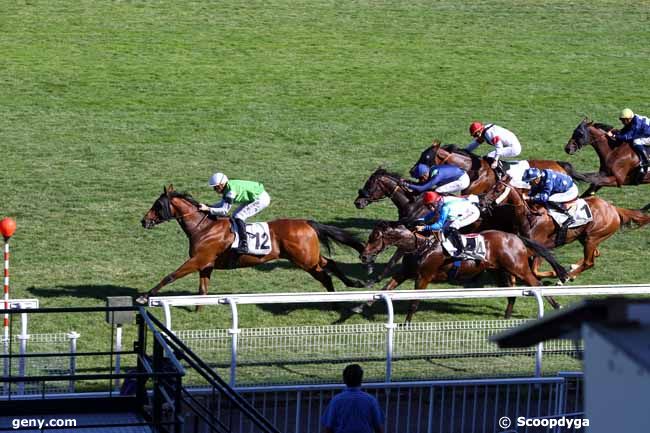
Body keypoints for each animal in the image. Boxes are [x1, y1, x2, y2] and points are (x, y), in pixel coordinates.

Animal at [136, 186, 364, 304]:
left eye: (157, 205)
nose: (144, 221)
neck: (204, 228)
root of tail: (307, 223)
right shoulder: (206, 264)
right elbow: (202, 290)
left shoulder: (198, 260)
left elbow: (170, 276)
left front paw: (144, 296)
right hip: (308, 256)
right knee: (329, 265)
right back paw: (346, 289)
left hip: (304, 259)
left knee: (325, 272)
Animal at [354, 223, 560, 320]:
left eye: (374, 237)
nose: (363, 256)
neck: (420, 246)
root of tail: (515, 237)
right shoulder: (404, 273)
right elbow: (385, 289)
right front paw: (359, 307)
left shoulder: (423, 277)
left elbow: (414, 302)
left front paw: (406, 323)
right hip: (498, 271)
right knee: (511, 293)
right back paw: (506, 316)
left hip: (519, 268)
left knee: (536, 284)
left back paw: (557, 306)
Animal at [476, 179, 648, 280]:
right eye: (491, 187)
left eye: (498, 189)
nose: (482, 202)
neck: (530, 216)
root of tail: (613, 208)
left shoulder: (539, 246)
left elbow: (535, 270)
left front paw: (555, 273)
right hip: (586, 237)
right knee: (596, 254)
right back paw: (573, 269)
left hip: (592, 238)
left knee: (589, 262)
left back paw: (568, 276)